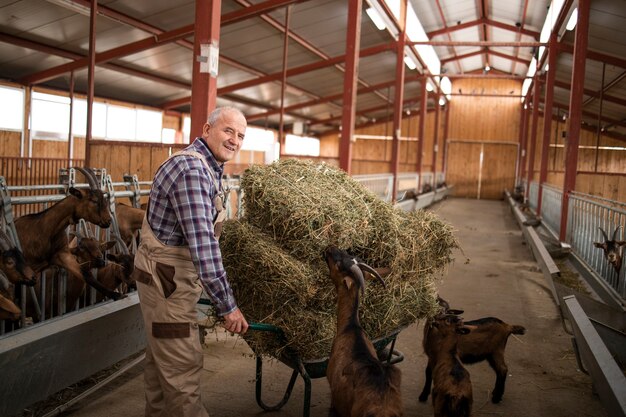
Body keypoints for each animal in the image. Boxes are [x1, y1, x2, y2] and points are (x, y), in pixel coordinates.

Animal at [15, 166, 122, 302]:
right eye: (94, 201)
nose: (108, 221)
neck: (46, 229)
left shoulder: (62, 254)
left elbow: (86, 275)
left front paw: (115, 294)